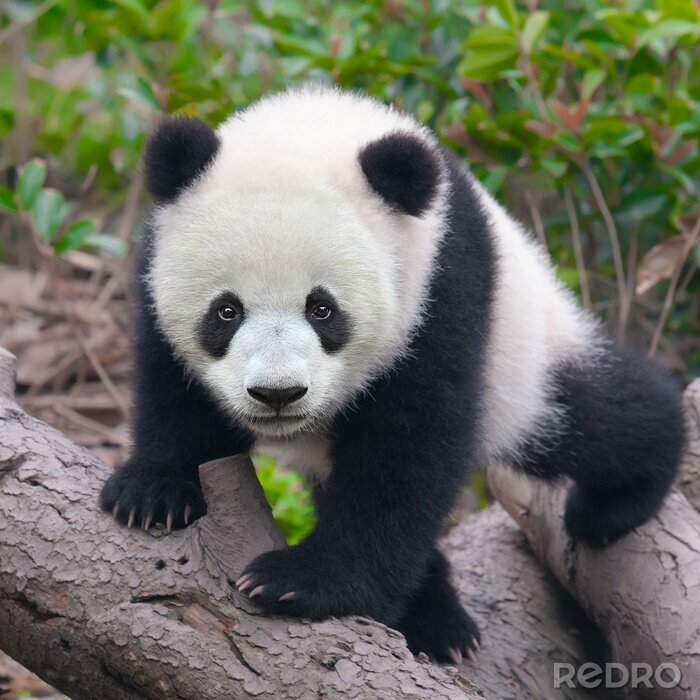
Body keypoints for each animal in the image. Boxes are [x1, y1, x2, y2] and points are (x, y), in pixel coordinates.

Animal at [100, 86, 685, 663]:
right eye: (226, 311)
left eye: (322, 309)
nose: (277, 393)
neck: (315, 124)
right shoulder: (157, 273)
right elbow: (176, 393)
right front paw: (153, 494)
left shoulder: (439, 287)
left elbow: (409, 449)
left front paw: (303, 582)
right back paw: (437, 615)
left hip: (524, 354)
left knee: (587, 419)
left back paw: (619, 498)